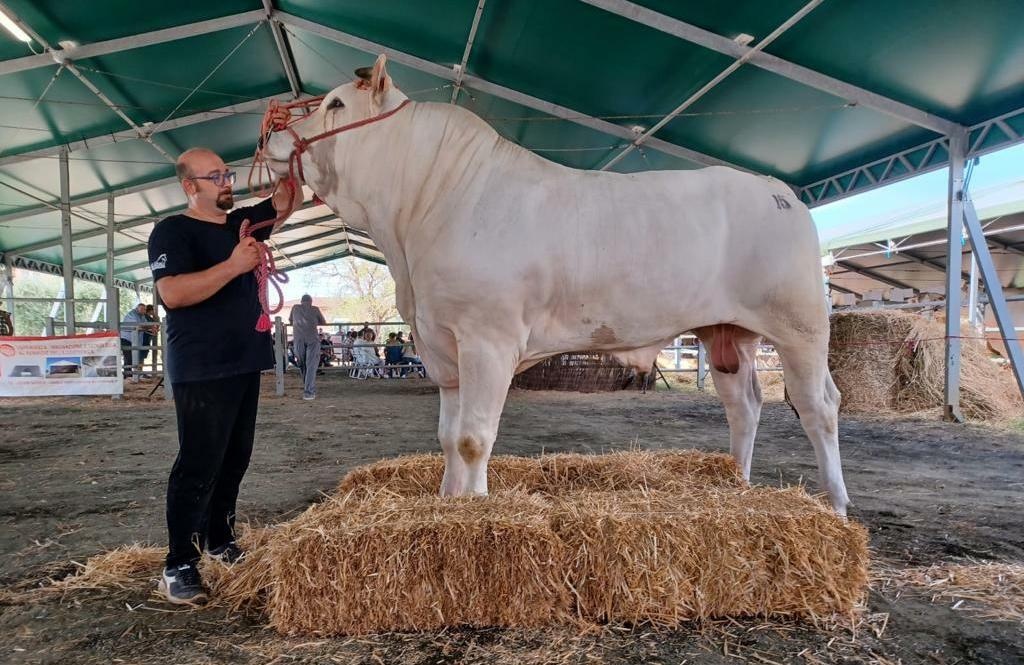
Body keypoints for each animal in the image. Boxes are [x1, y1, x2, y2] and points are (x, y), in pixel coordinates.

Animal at [264, 55, 847, 514]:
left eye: (336, 104)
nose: (271, 129)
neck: (412, 224)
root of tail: (781, 192)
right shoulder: (441, 341)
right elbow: (448, 437)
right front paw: (449, 503)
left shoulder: (489, 337)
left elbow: (474, 438)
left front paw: (475, 508)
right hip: (724, 330)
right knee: (744, 405)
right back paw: (738, 486)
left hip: (800, 325)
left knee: (819, 407)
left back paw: (836, 504)